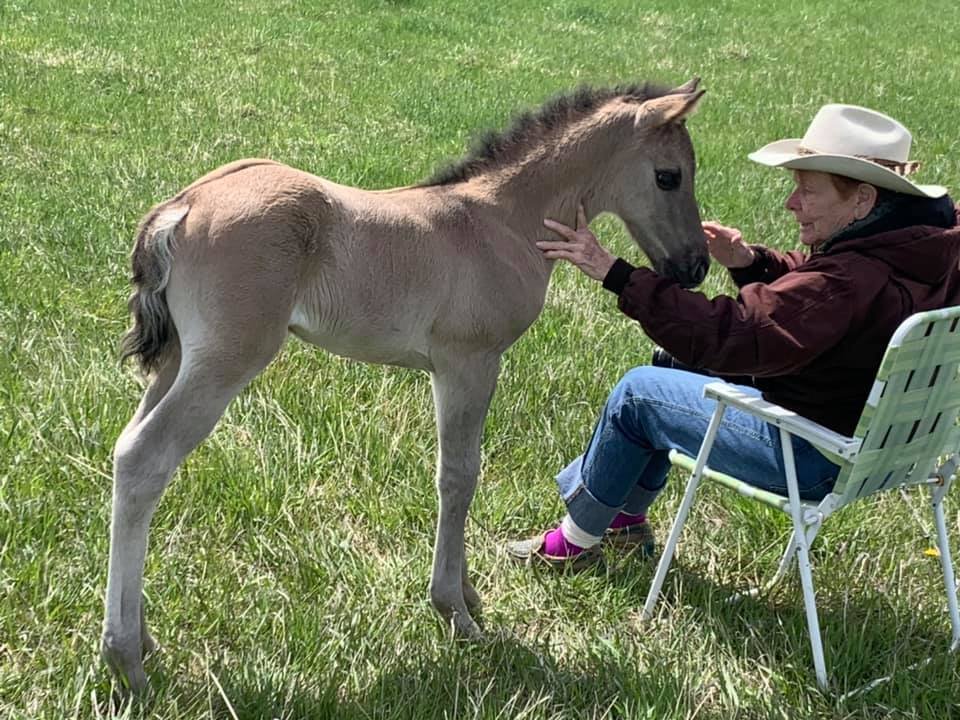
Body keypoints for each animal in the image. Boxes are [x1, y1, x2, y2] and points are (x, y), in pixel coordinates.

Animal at [102, 78, 709, 691]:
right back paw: (125, 659)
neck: (501, 222)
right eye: (669, 176)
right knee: (145, 459)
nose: (696, 267)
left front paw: (468, 595)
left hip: (179, 359)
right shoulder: (469, 362)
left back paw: (143, 641)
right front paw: (457, 611)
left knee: (128, 448)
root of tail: (183, 205)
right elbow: (459, 476)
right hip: (226, 360)